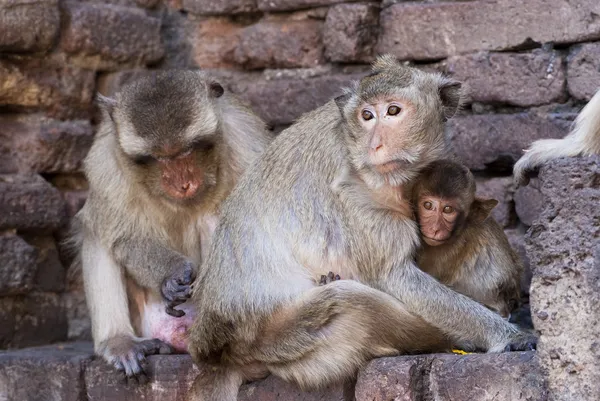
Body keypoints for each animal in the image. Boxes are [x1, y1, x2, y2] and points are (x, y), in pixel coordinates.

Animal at [72, 69, 272, 378]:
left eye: (188, 150)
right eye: (155, 158)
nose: (182, 183)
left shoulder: (247, 141)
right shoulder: (105, 163)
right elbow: (121, 235)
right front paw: (172, 275)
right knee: (96, 228)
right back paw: (119, 342)